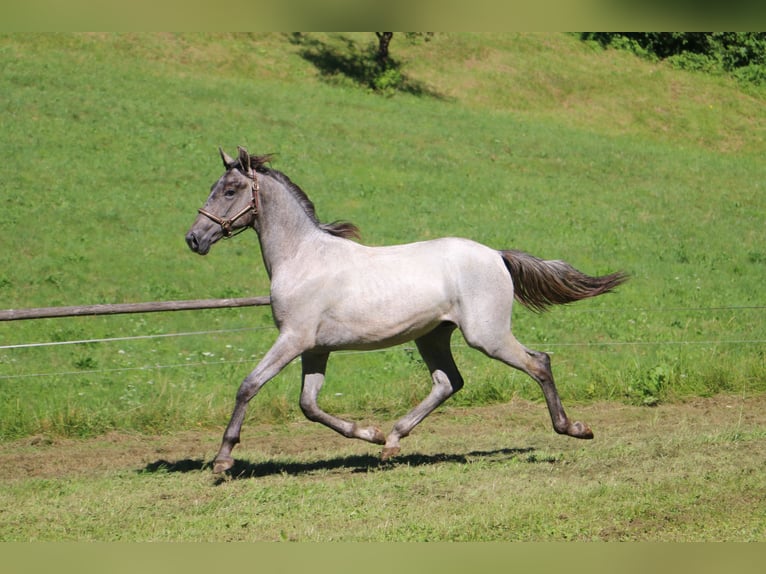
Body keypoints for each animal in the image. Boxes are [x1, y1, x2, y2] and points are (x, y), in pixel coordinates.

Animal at [188, 146, 632, 474]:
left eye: (230, 190)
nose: (194, 238)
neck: (302, 258)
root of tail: (497, 255)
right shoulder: (315, 348)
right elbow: (309, 405)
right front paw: (369, 433)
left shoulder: (293, 339)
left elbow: (249, 385)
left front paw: (223, 460)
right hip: (433, 336)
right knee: (449, 382)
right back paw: (392, 440)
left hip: (486, 335)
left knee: (538, 362)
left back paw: (575, 428)